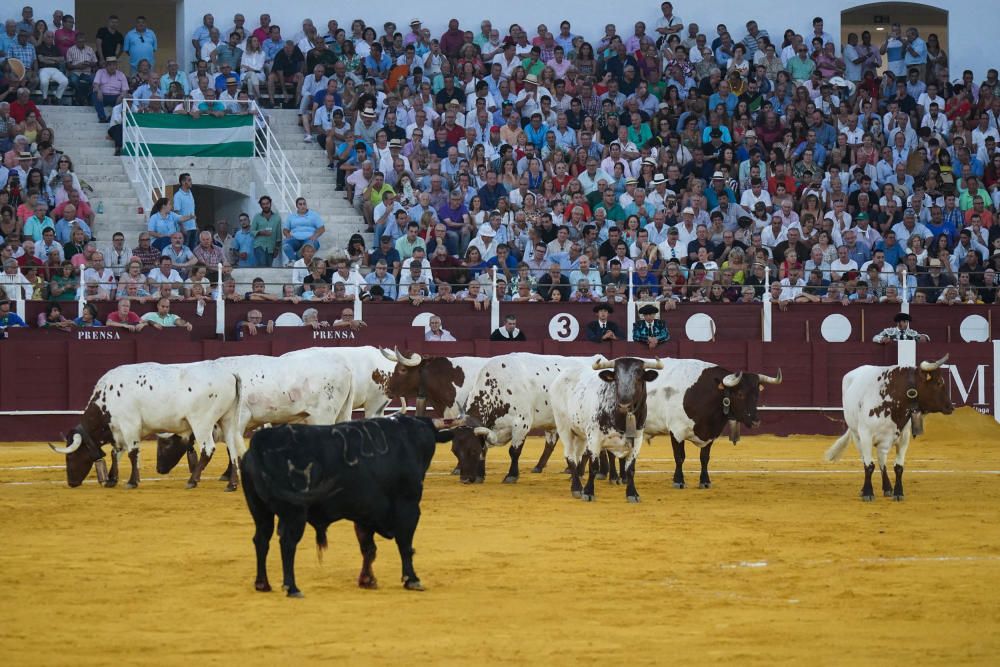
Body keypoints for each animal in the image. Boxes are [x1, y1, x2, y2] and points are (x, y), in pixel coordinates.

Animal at [242, 414, 460, 596]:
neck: (410, 438)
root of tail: (261, 440)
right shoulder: (408, 506)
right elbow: (405, 544)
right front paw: (412, 579)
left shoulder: (365, 513)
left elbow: (368, 548)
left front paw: (367, 580)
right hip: (294, 513)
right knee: (287, 543)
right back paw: (292, 587)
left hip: (260, 511)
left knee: (261, 539)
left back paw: (262, 584)